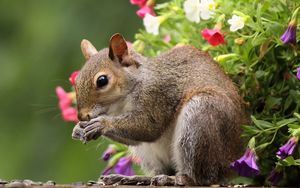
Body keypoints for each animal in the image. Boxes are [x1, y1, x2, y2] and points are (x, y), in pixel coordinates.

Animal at [72, 33, 248, 184]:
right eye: (77, 80)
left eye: (102, 80)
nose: (82, 116)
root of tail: (232, 160)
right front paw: (78, 129)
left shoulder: (157, 94)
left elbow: (149, 128)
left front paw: (101, 124)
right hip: (149, 153)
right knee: (161, 170)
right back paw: (136, 178)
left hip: (200, 119)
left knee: (201, 179)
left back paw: (175, 179)